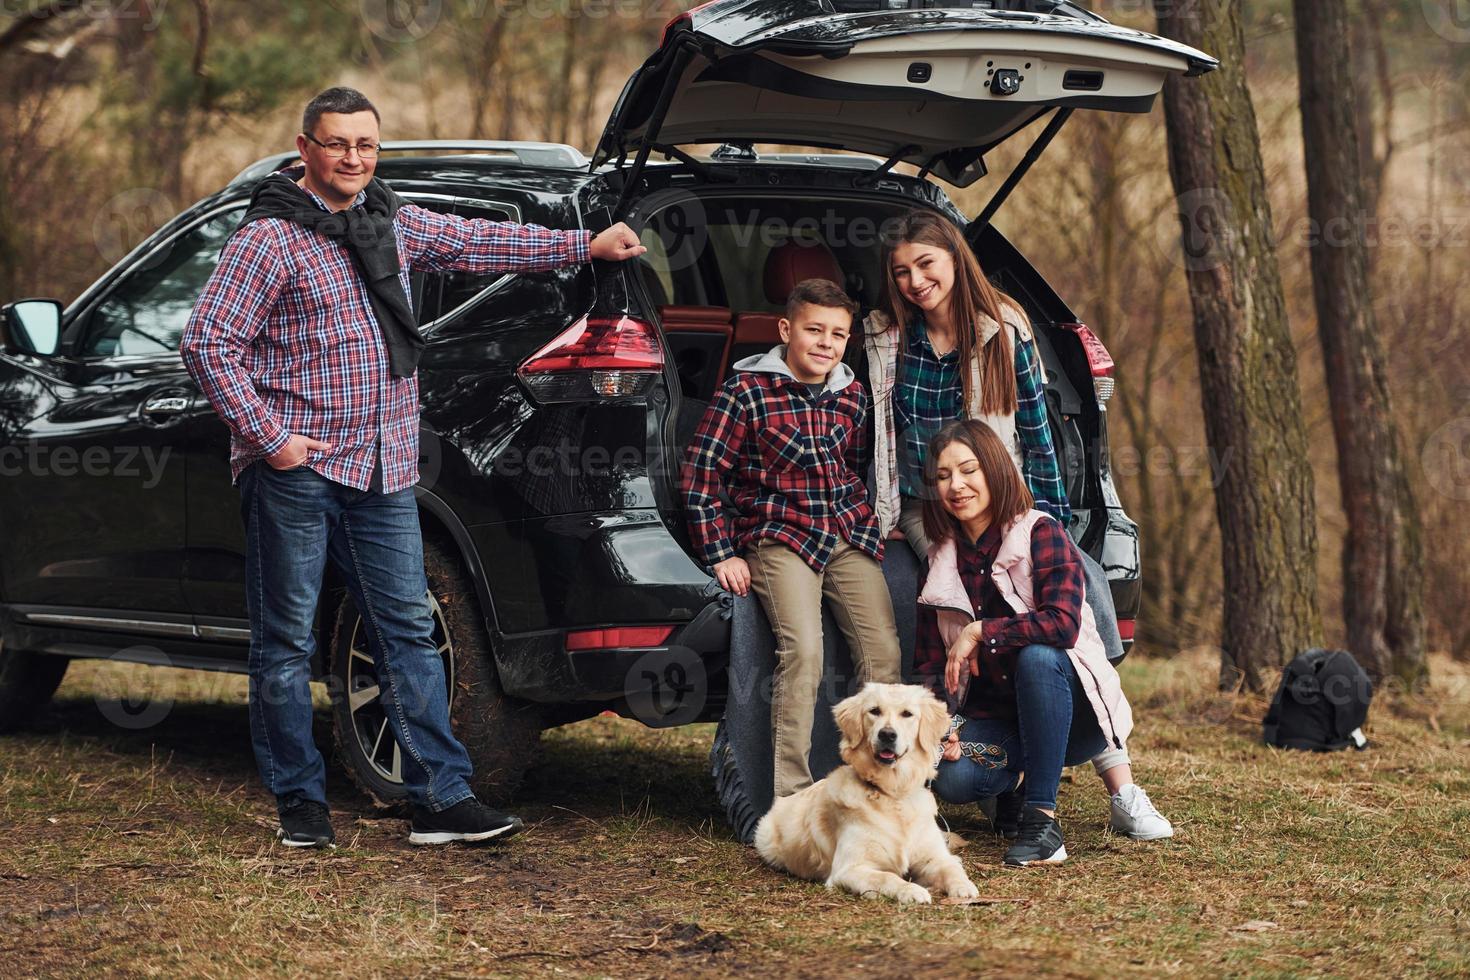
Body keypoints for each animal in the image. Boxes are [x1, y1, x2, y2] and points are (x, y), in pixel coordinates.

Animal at [758, 681, 976, 905]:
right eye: (874, 711)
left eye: (907, 714)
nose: (887, 734)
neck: (893, 793)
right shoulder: (849, 869)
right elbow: (887, 877)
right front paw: (912, 890)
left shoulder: (934, 856)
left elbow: (950, 867)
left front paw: (964, 887)